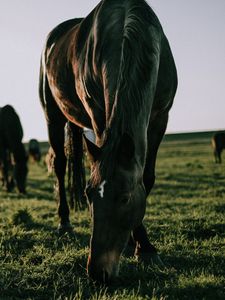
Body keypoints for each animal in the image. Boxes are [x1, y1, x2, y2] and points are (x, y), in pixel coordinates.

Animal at [40, 0, 178, 284]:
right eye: (89, 195)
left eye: (124, 198)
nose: (97, 273)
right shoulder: (98, 113)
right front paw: (141, 246)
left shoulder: (160, 117)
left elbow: (146, 178)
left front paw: (142, 246)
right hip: (52, 115)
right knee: (59, 165)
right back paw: (64, 223)